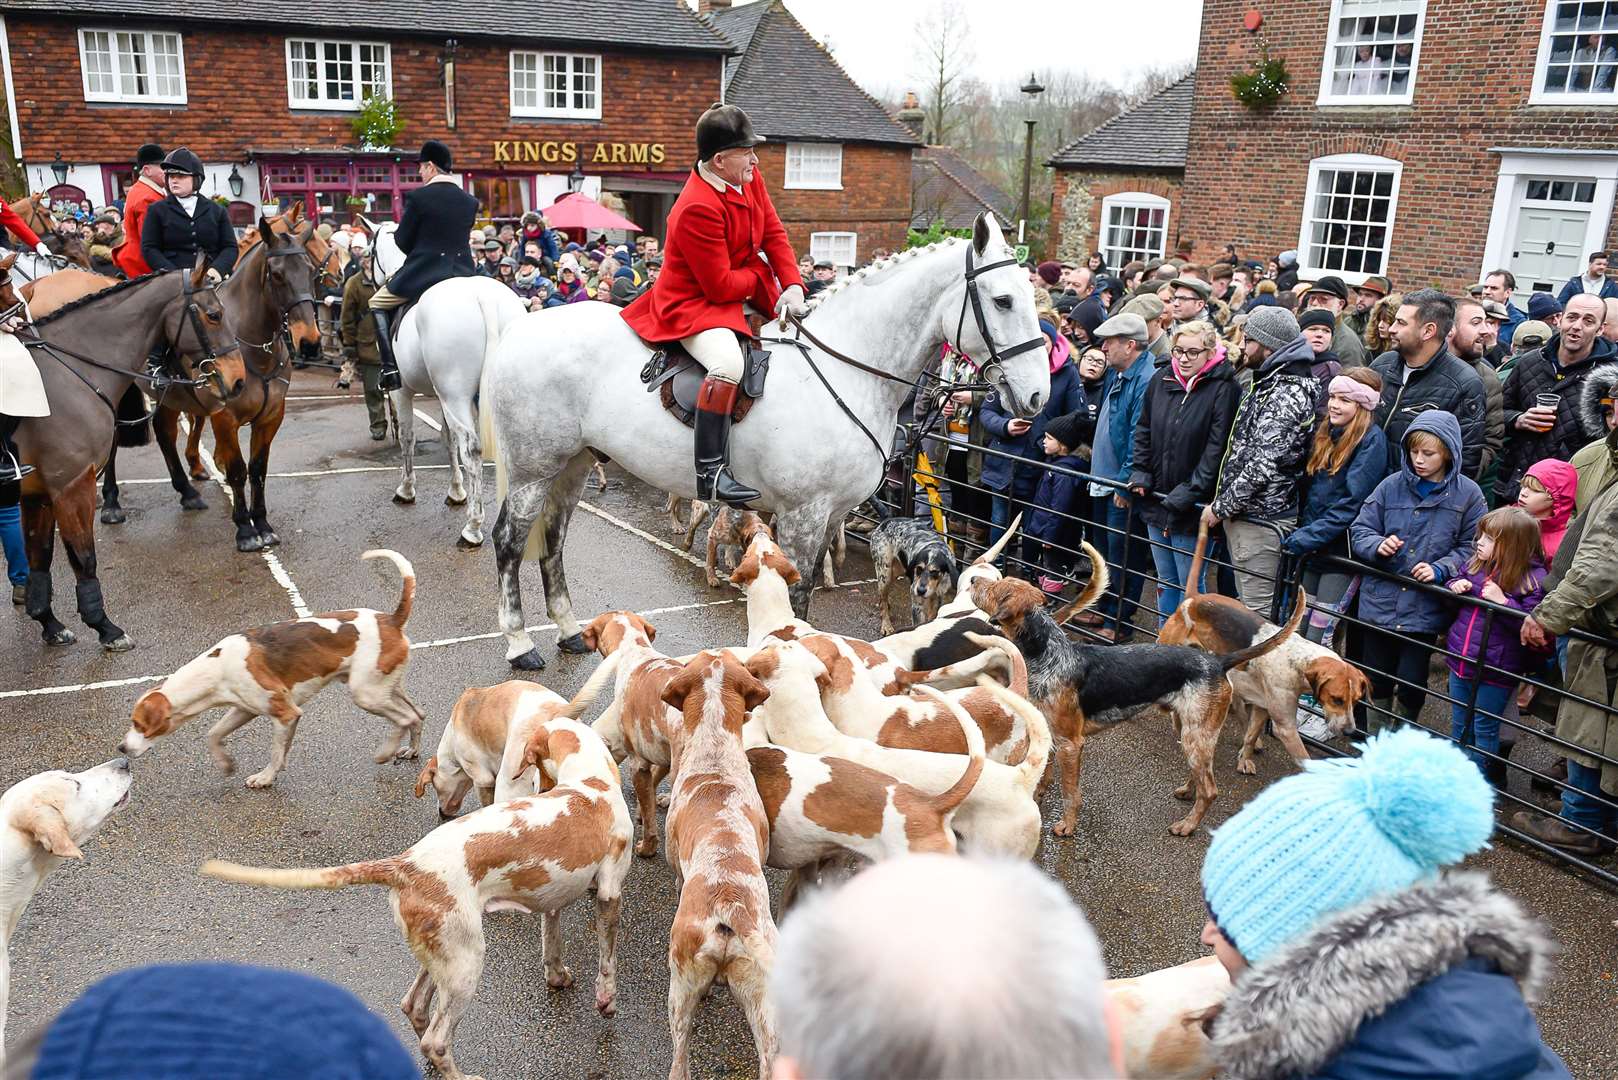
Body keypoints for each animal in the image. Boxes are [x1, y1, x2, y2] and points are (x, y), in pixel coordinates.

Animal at [14, 259, 249, 650]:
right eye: (214, 315)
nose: (239, 381)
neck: (64, 374)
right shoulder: (70, 486)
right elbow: (83, 558)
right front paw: (104, 626)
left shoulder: (38, 492)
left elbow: (40, 556)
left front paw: (49, 623)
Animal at [97, 208, 331, 553]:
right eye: (276, 275)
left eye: (311, 272)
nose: (311, 342)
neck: (252, 347)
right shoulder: (225, 418)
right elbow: (237, 470)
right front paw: (245, 529)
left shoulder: (271, 416)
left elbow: (258, 470)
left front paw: (263, 524)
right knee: (113, 443)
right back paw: (111, 502)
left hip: (170, 398)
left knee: (165, 434)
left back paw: (187, 492)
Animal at [478, 210, 1048, 667]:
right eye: (1002, 300)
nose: (1038, 397)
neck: (845, 372)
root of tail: (522, 326)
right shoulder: (802, 515)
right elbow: (795, 601)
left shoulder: (826, 517)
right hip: (533, 467)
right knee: (509, 541)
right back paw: (519, 643)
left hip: (573, 463)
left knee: (554, 539)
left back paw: (569, 631)